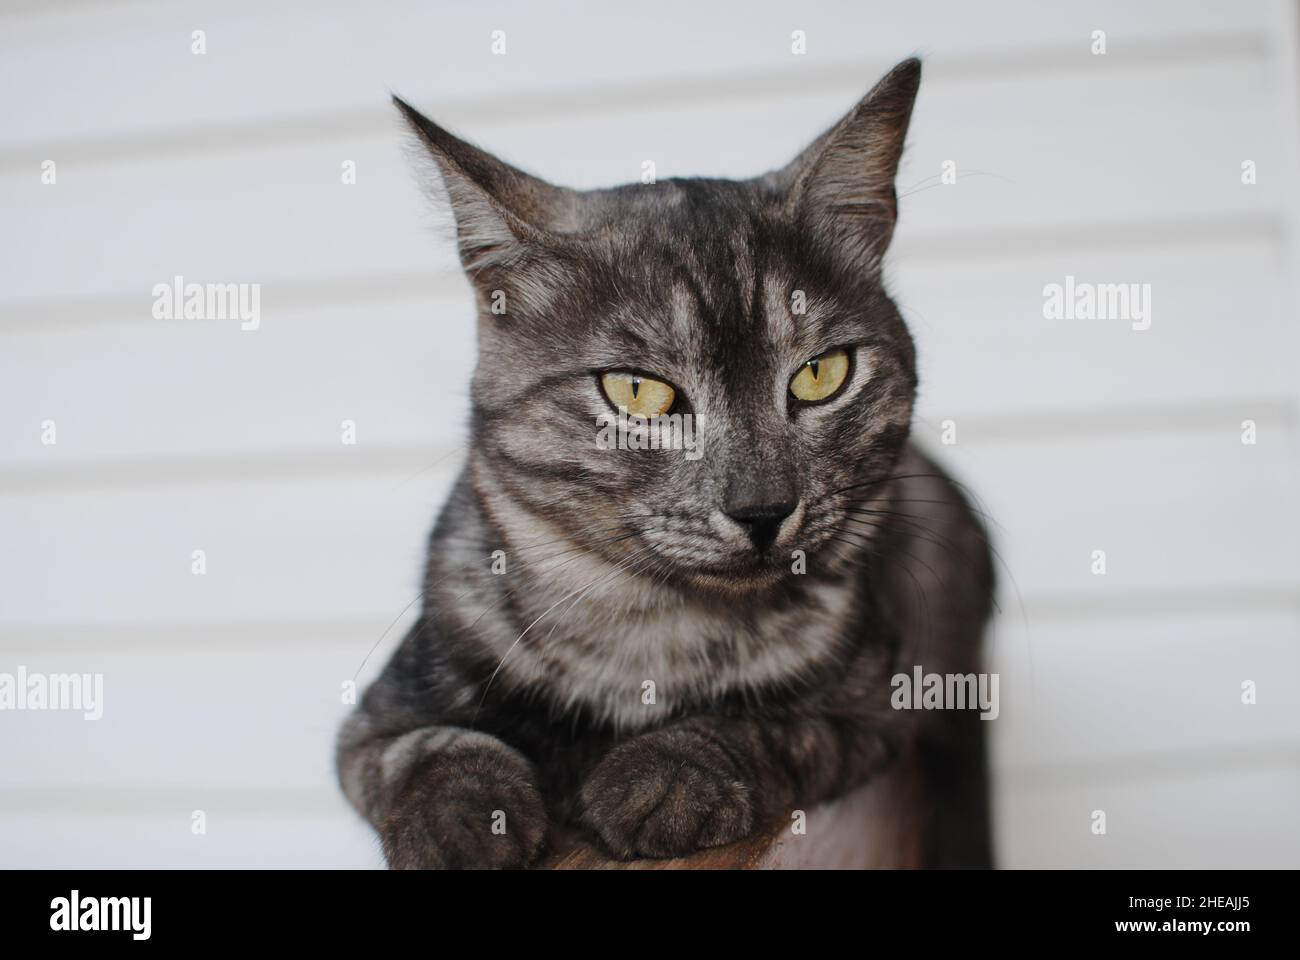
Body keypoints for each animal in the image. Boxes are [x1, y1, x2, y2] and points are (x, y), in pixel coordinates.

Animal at [335, 59, 993, 868]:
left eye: (822, 374)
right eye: (638, 392)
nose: (762, 508)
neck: (652, 632)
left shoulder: (873, 703)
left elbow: (770, 724)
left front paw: (667, 778)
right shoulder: (377, 716)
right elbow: (424, 750)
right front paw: (462, 818)